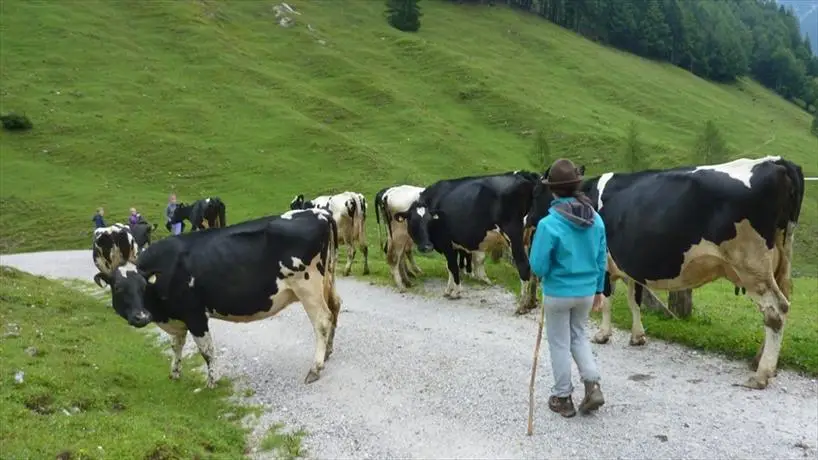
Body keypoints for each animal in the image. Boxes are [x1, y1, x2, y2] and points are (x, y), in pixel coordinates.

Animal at [91, 208, 340, 388]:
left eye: (143, 287)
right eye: (118, 289)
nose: (141, 317)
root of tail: (318, 212)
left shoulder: (195, 315)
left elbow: (207, 351)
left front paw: (211, 382)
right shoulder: (177, 318)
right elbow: (176, 345)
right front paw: (174, 374)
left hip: (307, 286)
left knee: (322, 320)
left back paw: (315, 368)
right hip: (328, 281)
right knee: (335, 308)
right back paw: (328, 353)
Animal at [396, 171, 540, 314]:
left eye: (429, 221)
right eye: (413, 222)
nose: (427, 246)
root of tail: (523, 175)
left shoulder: (445, 242)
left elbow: (453, 266)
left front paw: (456, 292)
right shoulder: (452, 245)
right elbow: (450, 267)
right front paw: (448, 290)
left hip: (513, 235)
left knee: (524, 265)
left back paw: (521, 306)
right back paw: (531, 303)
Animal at [524, 156, 804, 390]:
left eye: (536, 192)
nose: (526, 219)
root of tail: (777, 162)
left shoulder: (603, 264)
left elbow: (607, 300)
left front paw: (603, 334)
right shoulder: (631, 266)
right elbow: (634, 300)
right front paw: (638, 336)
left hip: (751, 265)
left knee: (775, 310)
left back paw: (761, 374)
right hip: (779, 263)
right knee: (781, 306)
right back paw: (761, 363)